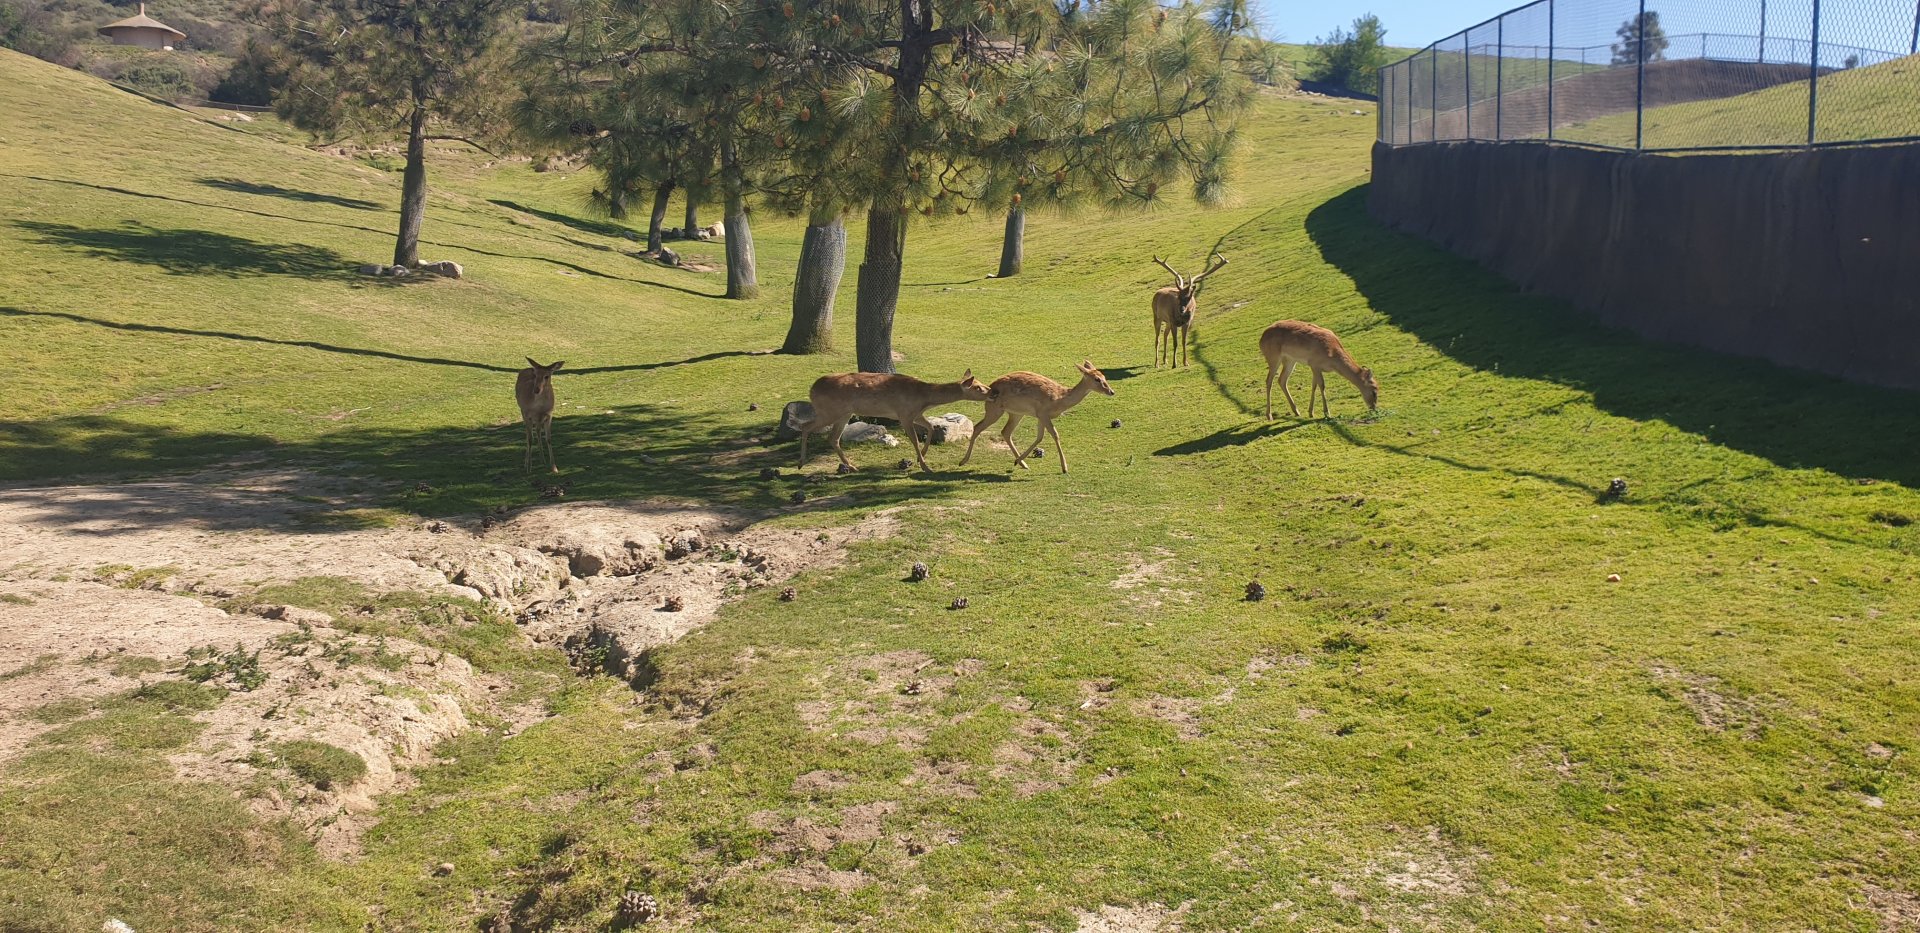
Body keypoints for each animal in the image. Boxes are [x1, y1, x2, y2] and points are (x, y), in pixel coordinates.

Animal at [797, 370, 994, 473]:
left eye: (982, 382)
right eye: (977, 387)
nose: (993, 391)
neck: (924, 398)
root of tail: (812, 389)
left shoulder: (915, 414)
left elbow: (930, 427)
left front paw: (920, 457)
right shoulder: (904, 414)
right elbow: (915, 439)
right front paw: (925, 466)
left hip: (843, 413)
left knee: (832, 437)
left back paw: (852, 466)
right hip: (829, 411)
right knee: (806, 426)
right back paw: (801, 463)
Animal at [960, 361, 1115, 474]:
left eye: (1104, 376)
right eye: (1097, 379)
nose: (1111, 391)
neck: (1059, 399)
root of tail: (990, 388)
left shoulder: (1039, 416)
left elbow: (1040, 437)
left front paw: (1018, 461)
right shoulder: (1043, 412)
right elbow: (1055, 434)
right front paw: (1064, 468)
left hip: (1017, 413)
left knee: (1006, 431)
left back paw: (1023, 463)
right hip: (995, 409)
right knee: (978, 427)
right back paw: (963, 461)